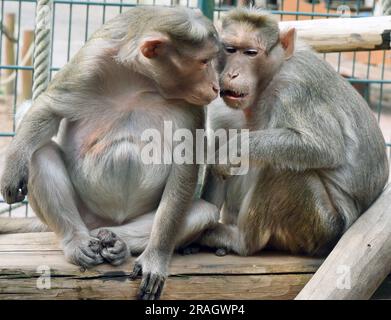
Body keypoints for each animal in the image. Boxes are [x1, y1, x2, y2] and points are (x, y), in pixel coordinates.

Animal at [0, 5, 220, 300]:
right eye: (204, 62)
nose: (215, 87)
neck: (142, 80)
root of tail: (97, 221)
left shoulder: (191, 104)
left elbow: (184, 165)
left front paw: (156, 257)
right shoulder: (90, 62)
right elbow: (48, 110)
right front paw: (13, 166)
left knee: (202, 212)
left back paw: (117, 241)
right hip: (83, 211)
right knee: (38, 152)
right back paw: (76, 241)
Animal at [198, 7, 390, 258]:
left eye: (251, 53)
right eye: (230, 49)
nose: (232, 74)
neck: (266, 83)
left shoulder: (295, 88)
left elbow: (324, 147)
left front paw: (232, 150)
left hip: (321, 226)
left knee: (281, 168)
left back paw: (241, 240)